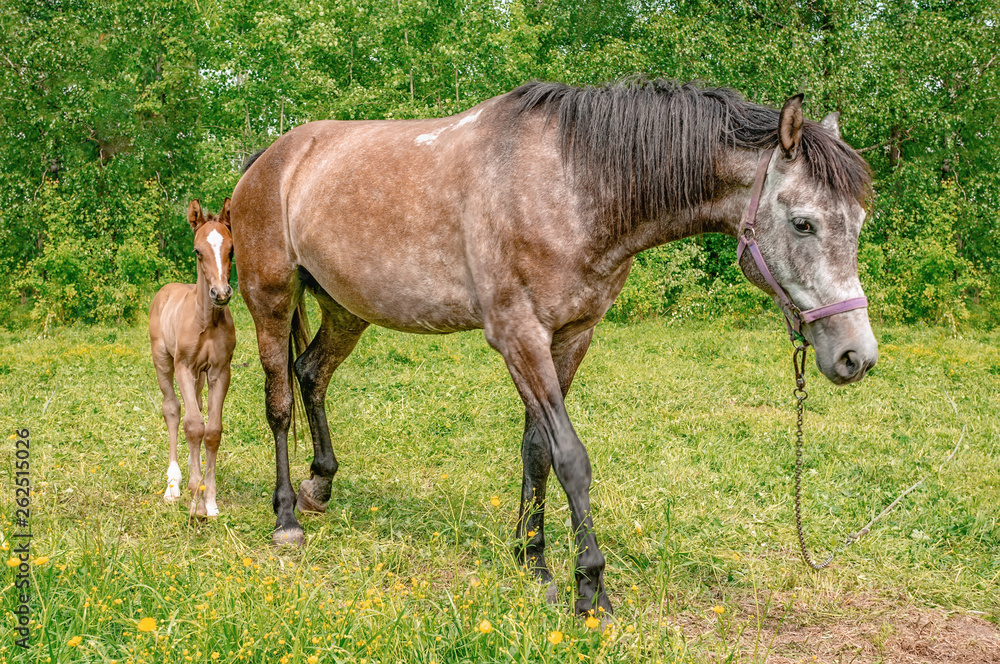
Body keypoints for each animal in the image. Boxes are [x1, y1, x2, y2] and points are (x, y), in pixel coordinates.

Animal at [149, 197, 237, 520]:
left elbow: (211, 430)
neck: (207, 321)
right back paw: (173, 485)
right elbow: (193, 425)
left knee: (195, 407)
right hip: (163, 361)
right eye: (197, 251)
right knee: (174, 410)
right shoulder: (184, 367)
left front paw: (208, 500)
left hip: (200, 375)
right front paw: (195, 502)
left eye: (231, 249)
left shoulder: (220, 370)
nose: (221, 293)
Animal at [232, 80, 876, 616]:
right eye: (802, 223)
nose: (857, 357)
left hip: (347, 310)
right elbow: (570, 458)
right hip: (271, 300)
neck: (571, 187)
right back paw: (286, 517)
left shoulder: (571, 337)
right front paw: (590, 587)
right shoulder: (519, 336)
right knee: (279, 400)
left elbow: (536, 450)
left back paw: (320, 484)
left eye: (859, 222)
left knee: (312, 373)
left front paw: (533, 561)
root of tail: (268, 160)